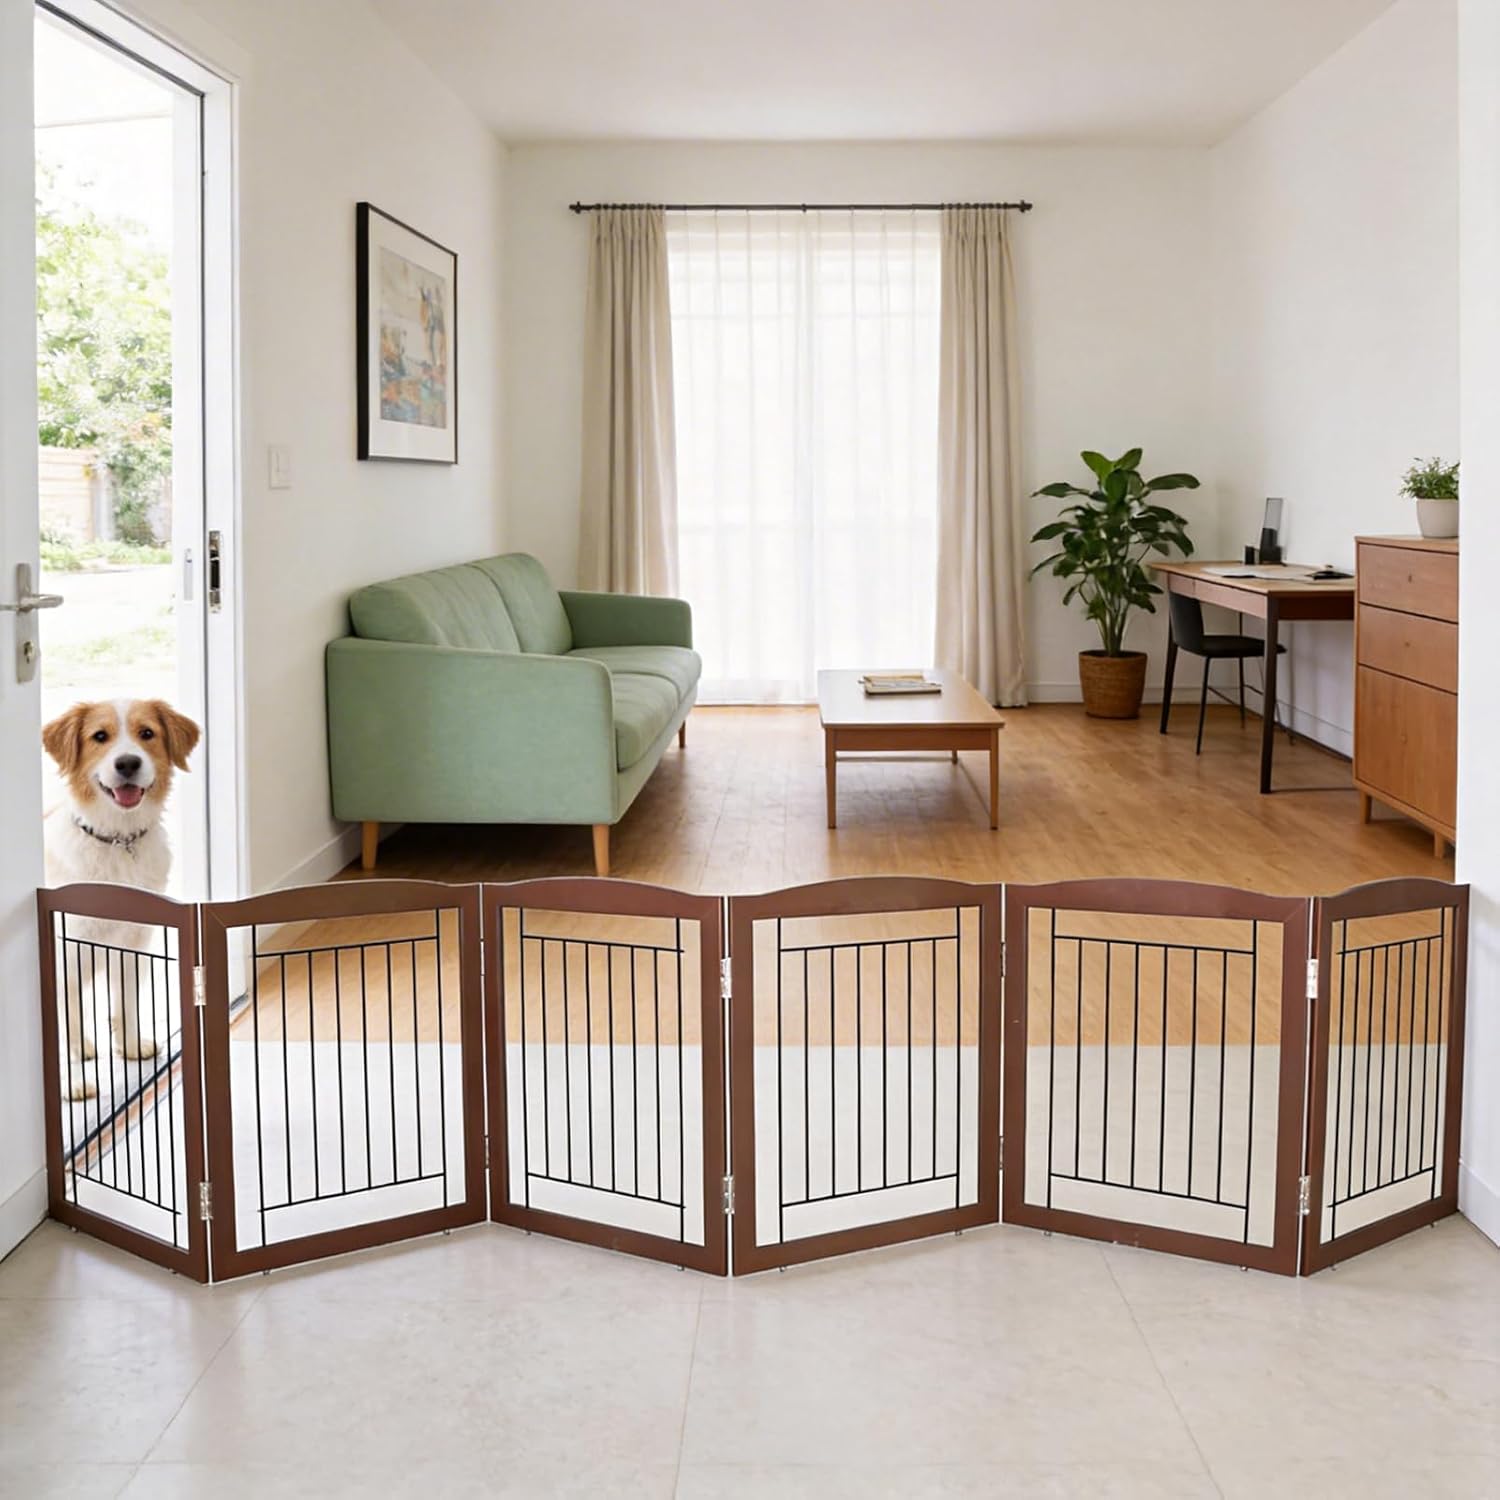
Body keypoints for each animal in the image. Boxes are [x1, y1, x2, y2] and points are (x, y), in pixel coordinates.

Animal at [42, 699, 201, 1099]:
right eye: (100, 736)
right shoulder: (62, 952)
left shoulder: (134, 940)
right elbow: (58, 1025)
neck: (117, 838)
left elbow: (126, 1000)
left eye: (147, 733)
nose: (127, 763)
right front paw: (72, 1082)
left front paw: (129, 1046)